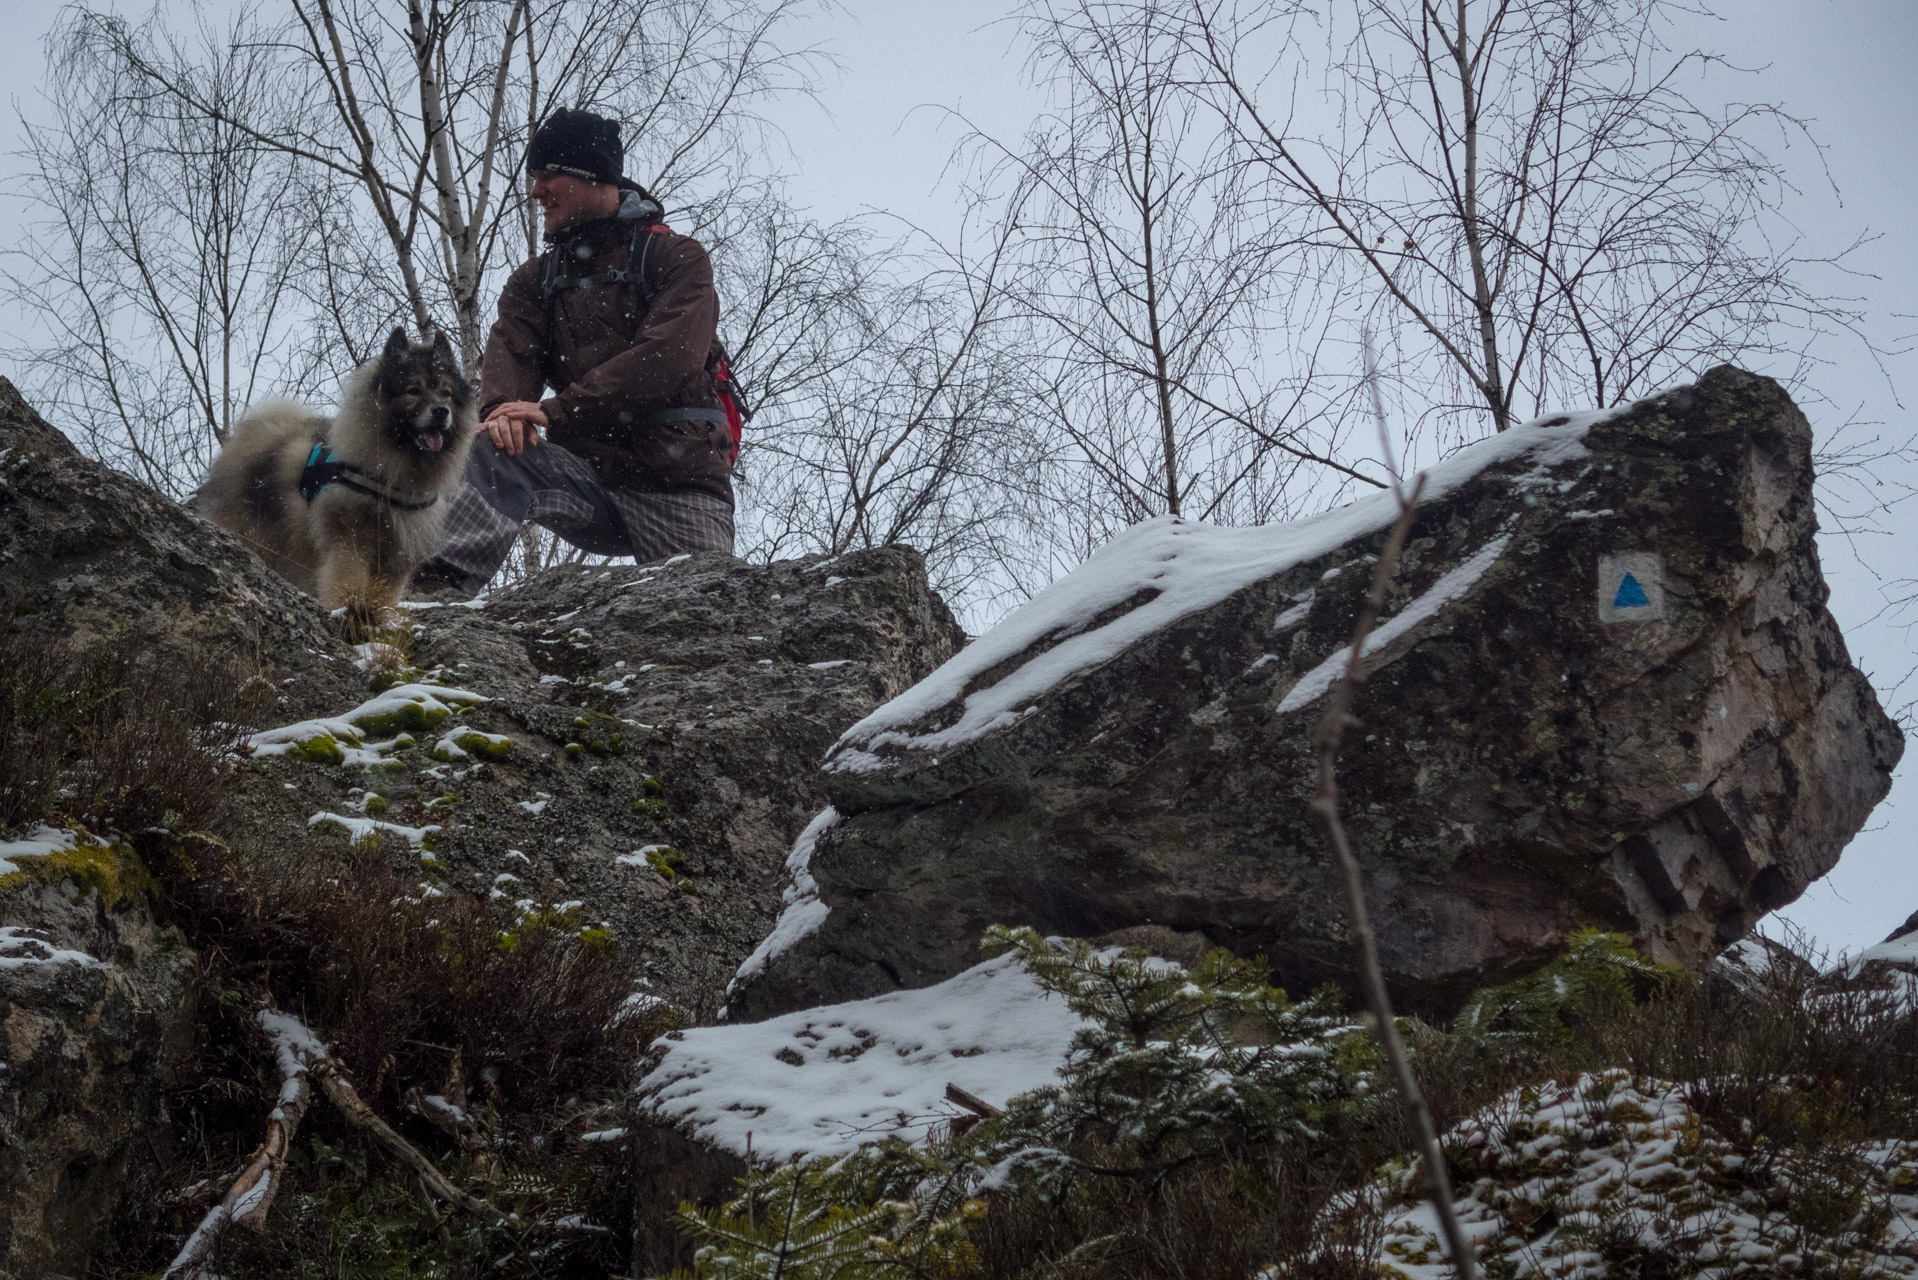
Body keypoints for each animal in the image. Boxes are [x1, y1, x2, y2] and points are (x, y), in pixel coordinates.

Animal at [201, 326, 479, 637]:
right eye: (413, 390)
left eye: (446, 393)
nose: (441, 411)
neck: (393, 477)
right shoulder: (349, 540)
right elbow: (347, 581)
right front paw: (349, 614)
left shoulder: (396, 556)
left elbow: (383, 595)